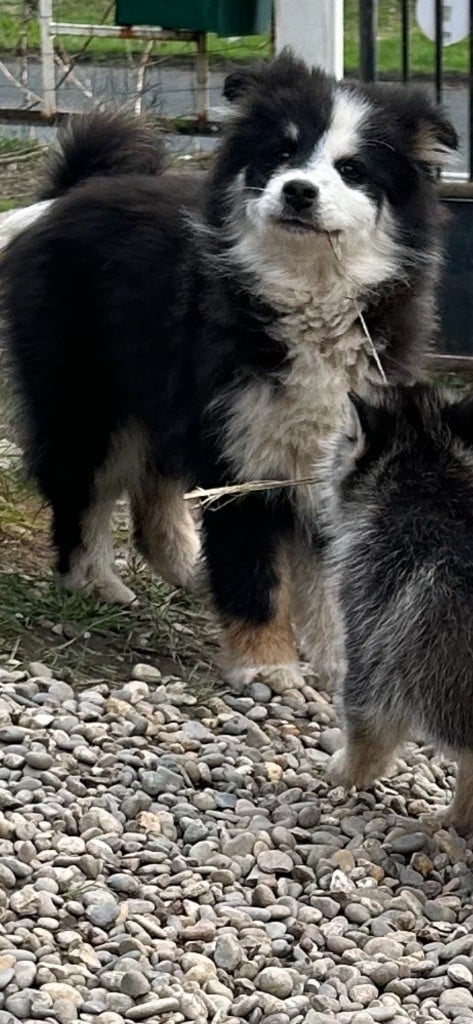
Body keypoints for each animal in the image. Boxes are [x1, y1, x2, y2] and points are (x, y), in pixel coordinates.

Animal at [0, 48, 458, 688]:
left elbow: (328, 579)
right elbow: (254, 573)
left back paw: (182, 563)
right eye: (282, 152)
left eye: (353, 169)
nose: (298, 192)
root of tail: (73, 192)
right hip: (87, 395)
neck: (310, 296)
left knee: (151, 487)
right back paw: (93, 582)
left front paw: (339, 664)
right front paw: (267, 667)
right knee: (81, 490)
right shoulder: (245, 451)